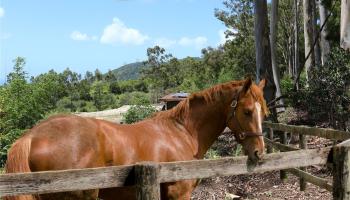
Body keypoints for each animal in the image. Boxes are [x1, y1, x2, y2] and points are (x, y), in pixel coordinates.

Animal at [4, 78, 268, 200]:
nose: (259, 152)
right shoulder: (178, 194)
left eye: (263, 111)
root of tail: (32, 136)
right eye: (247, 111)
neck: (181, 133)